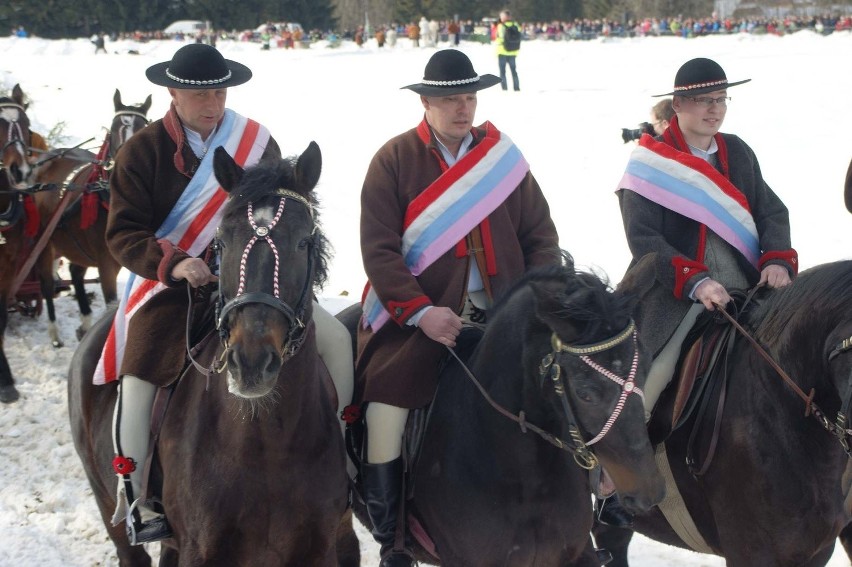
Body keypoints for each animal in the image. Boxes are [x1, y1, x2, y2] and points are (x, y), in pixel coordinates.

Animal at [32, 87, 151, 338]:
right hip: (44, 243)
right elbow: (112, 304)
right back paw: (54, 332)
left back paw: (86, 321)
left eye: (143, 128)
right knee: (46, 284)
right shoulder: (106, 264)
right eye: (114, 130)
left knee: (75, 272)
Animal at [68, 143, 356, 567]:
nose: (251, 363)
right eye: (221, 242)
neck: (269, 445)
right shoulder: (202, 552)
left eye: (304, 242)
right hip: (111, 510)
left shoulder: (318, 549)